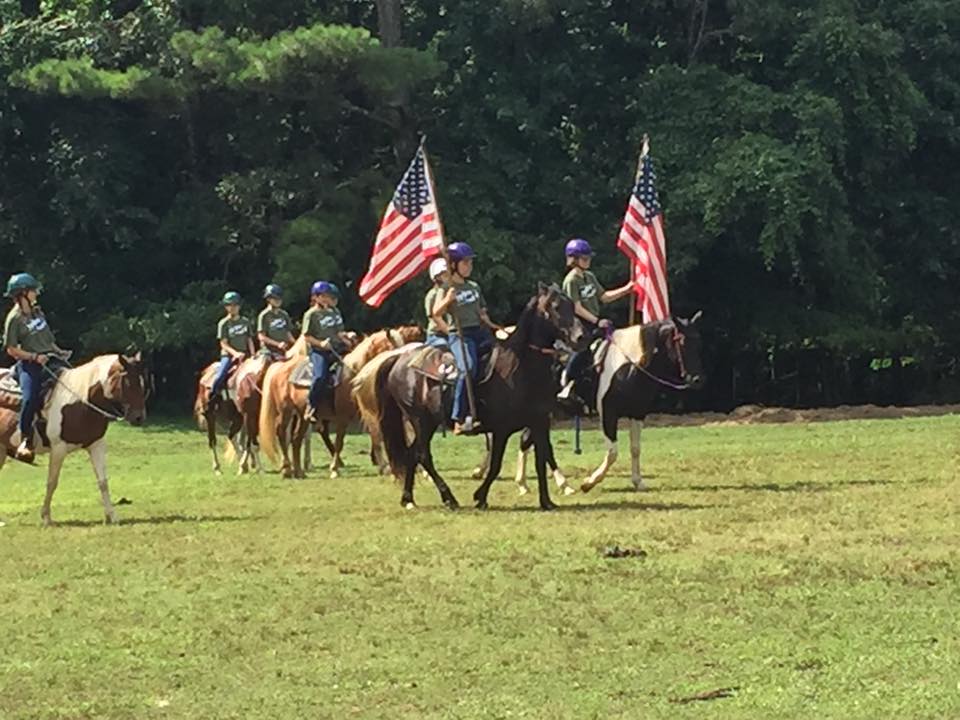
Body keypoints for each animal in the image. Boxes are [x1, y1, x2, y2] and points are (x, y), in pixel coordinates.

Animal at [0, 352, 146, 524]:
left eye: (142, 382)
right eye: (128, 382)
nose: (139, 418)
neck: (81, 401)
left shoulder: (96, 445)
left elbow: (103, 481)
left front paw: (112, 516)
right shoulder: (58, 449)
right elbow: (52, 482)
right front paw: (46, 517)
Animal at [256, 328, 422, 478]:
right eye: (392, 347)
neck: (352, 376)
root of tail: (279, 367)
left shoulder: (366, 413)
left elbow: (375, 436)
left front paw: (384, 466)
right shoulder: (343, 417)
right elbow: (339, 442)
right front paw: (335, 469)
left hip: (302, 415)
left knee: (296, 438)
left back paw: (299, 471)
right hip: (286, 410)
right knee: (281, 433)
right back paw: (287, 469)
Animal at [576, 316, 704, 496]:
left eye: (699, 343)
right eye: (682, 343)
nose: (697, 380)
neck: (629, 367)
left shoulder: (637, 413)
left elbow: (635, 448)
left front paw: (638, 481)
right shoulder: (608, 414)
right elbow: (612, 453)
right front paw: (589, 482)